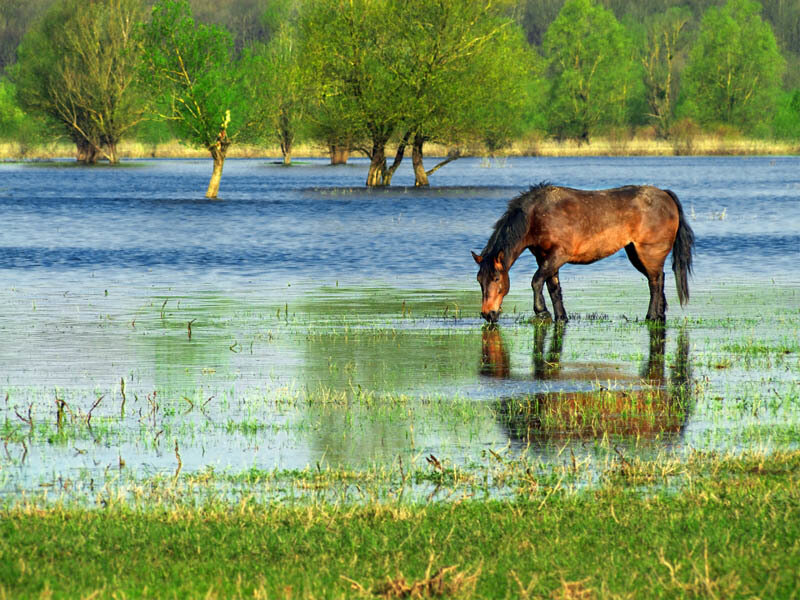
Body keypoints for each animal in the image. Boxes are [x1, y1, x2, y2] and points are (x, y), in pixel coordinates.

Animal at [472, 183, 695, 323]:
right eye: (479, 280)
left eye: (496, 278)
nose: (487, 314)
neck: (536, 215)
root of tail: (665, 195)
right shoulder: (544, 258)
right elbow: (554, 289)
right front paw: (561, 317)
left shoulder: (558, 255)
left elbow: (536, 281)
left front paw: (542, 312)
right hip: (635, 253)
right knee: (658, 279)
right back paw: (660, 314)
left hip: (648, 253)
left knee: (655, 282)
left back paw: (651, 316)